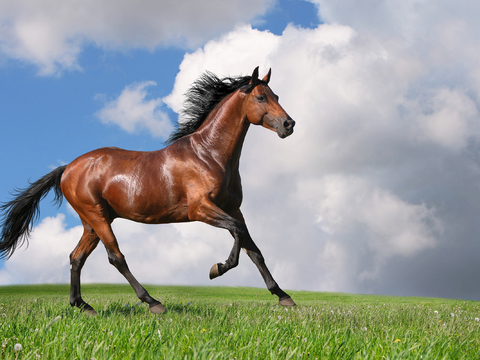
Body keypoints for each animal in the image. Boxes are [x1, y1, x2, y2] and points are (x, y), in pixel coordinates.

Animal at [0, 67, 296, 316]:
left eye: (276, 95)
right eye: (260, 97)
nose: (288, 124)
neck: (208, 155)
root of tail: (68, 169)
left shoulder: (234, 208)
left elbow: (253, 249)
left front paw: (283, 296)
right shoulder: (200, 209)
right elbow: (236, 232)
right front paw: (217, 269)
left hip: (92, 223)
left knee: (77, 257)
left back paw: (83, 306)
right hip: (96, 216)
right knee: (116, 257)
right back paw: (153, 303)